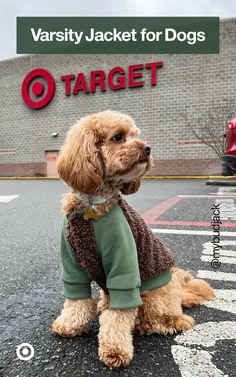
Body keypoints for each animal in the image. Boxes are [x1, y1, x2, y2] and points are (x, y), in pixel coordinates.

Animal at [52, 108, 215, 368]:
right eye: (118, 137)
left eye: (136, 135)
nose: (147, 148)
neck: (92, 208)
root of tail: (180, 291)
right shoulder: (71, 264)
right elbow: (76, 301)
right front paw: (69, 324)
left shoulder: (123, 264)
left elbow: (118, 317)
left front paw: (115, 349)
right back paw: (103, 304)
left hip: (154, 296)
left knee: (174, 320)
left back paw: (145, 324)